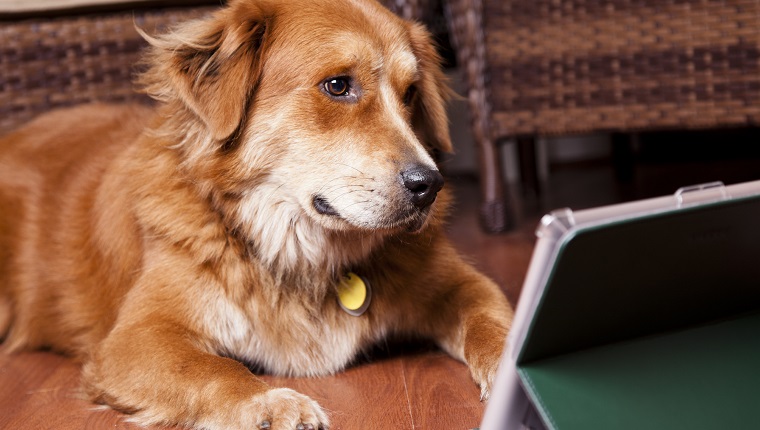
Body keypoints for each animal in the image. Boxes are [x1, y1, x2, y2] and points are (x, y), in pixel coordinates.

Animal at [0, 0, 512, 426]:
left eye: (410, 93)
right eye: (338, 86)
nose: (429, 187)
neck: (301, 250)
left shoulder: (463, 285)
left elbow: (496, 325)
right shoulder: (138, 337)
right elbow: (212, 367)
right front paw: (266, 402)